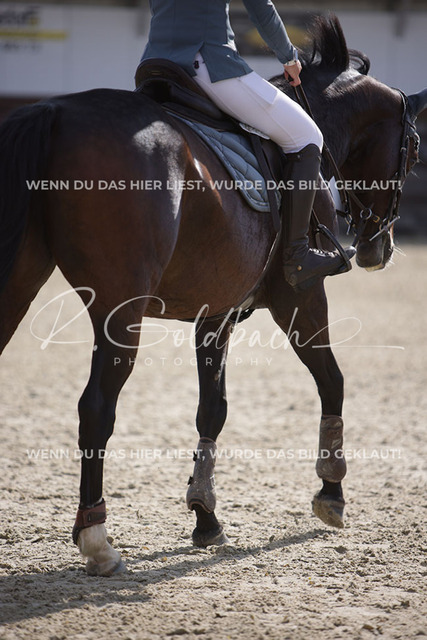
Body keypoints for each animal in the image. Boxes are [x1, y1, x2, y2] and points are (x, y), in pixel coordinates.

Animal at [0, 15, 425, 576]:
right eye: (415, 150)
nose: (380, 248)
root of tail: (54, 111)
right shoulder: (302, 297)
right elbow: (332, 381)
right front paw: (331, 492)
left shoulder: (216, 314)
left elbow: (212, 409)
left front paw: (205, 514)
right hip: (120, 310)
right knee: (96, 409)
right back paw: (97, 540)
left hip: (20, 281)